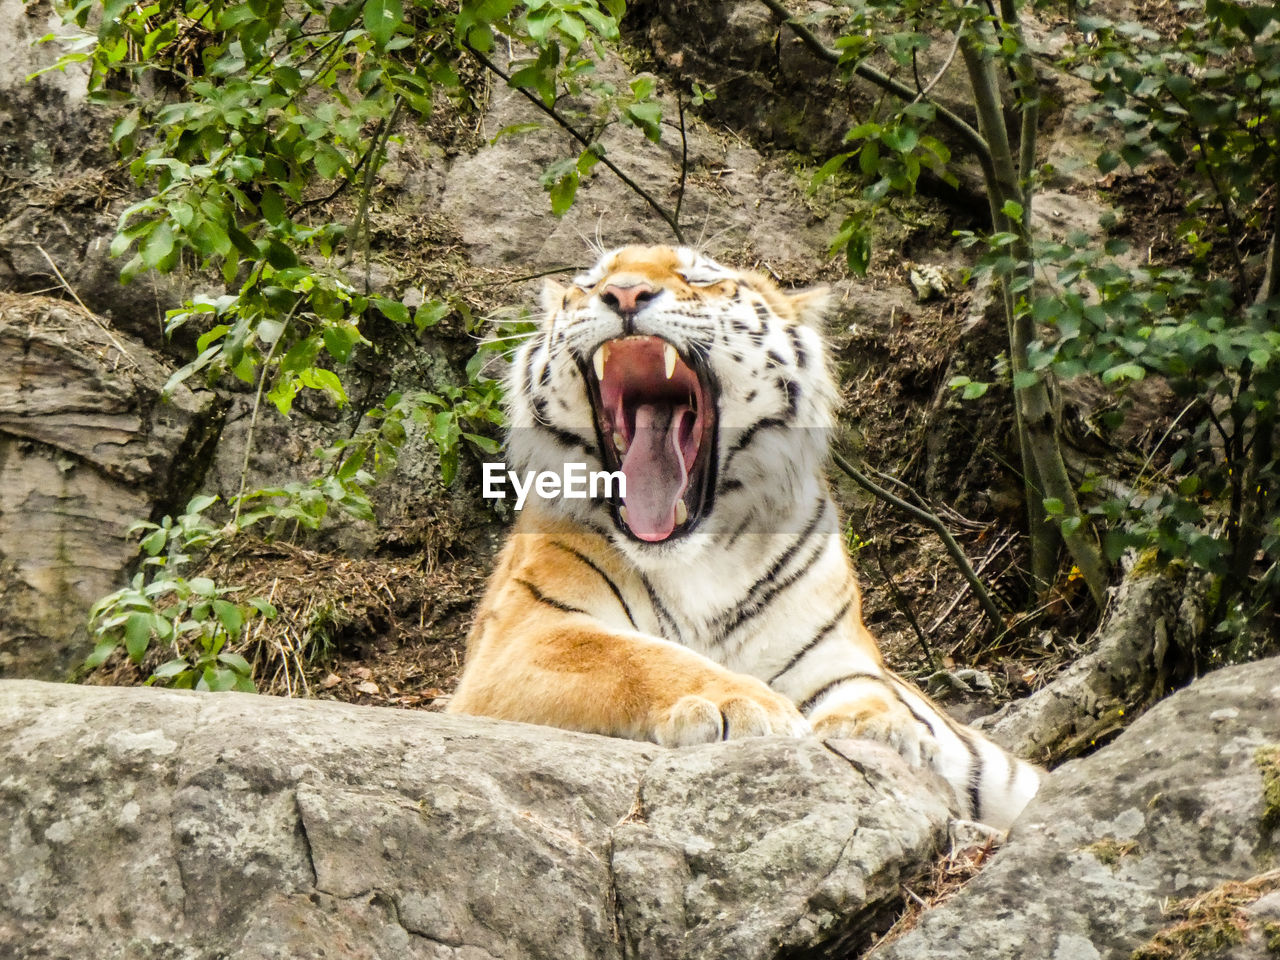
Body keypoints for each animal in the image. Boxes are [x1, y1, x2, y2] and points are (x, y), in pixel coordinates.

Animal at [448, 244, 1039, 829]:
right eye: (591, 284)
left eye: (697, 277)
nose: (624, 293)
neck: (697, 556)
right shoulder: (524, 635)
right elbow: (634, 657)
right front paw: (737, 703)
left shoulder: (834, 650)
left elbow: (868, 688)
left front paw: (883, 728)